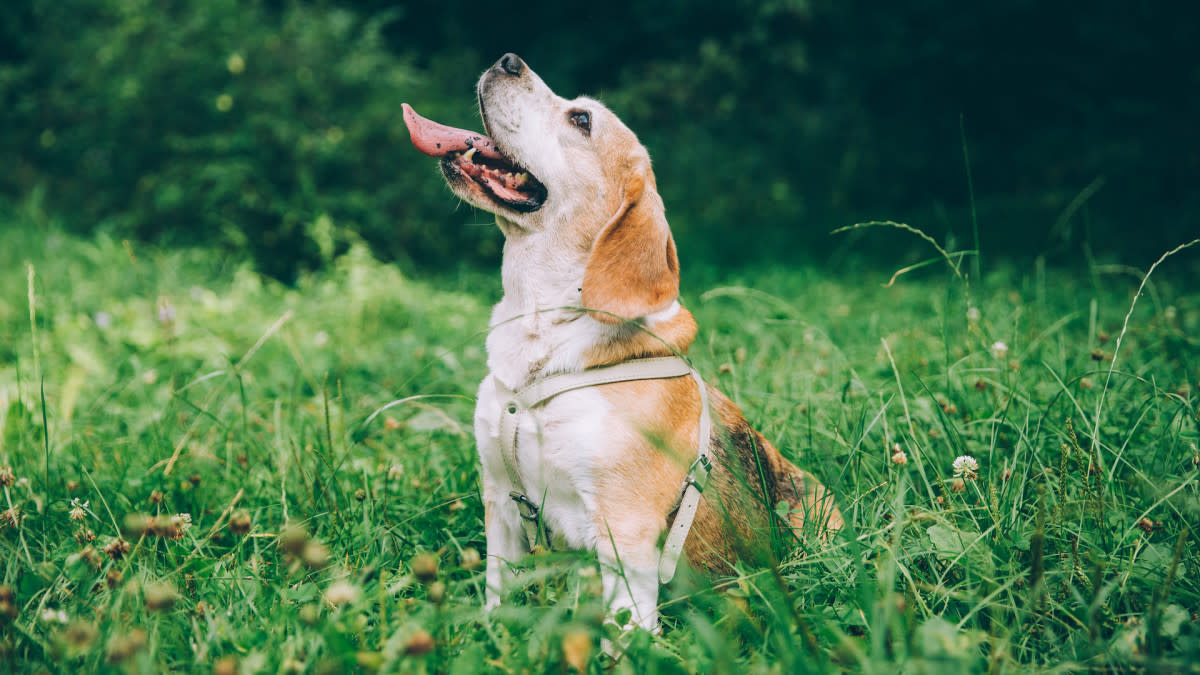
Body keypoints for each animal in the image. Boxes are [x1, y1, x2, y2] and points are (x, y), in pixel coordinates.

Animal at [398, 52, 840, 629]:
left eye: (581, 120)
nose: (507, 60)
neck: (544, 339)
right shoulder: (502, 502)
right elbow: (499, 593)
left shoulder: (624, 533)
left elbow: (623, 631)